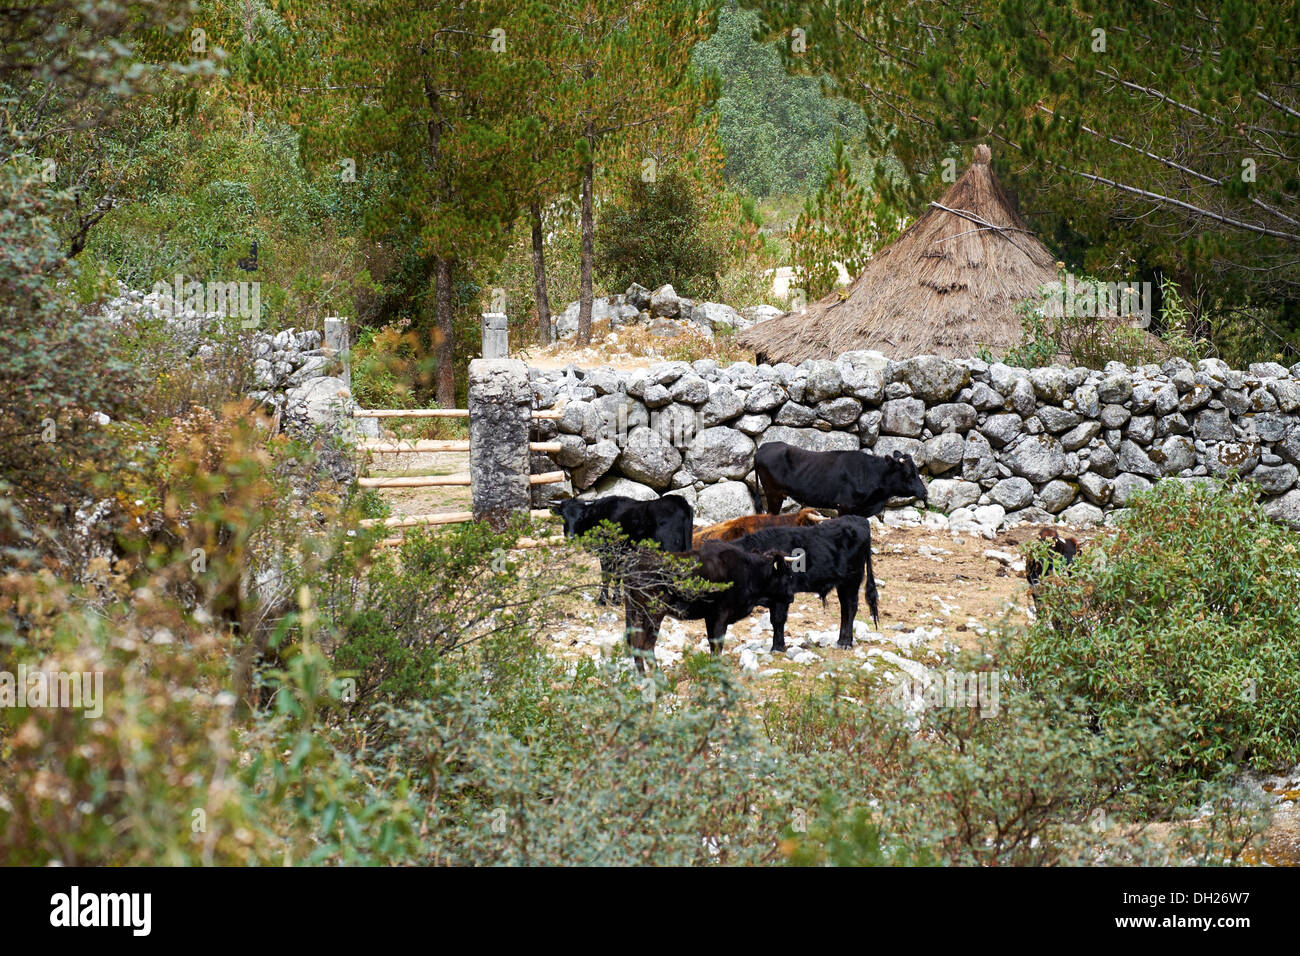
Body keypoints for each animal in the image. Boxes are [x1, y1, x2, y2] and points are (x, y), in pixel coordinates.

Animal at [553, 496, 696, 600]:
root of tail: (681, 502)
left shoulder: (607, 553)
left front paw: (603, 600)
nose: (570, 536)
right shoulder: (621, 554)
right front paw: (616, 599)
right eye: (563, 516)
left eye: (581, 517)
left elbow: (607, 575)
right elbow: (617, 576)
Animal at [618, 541, 790, 671]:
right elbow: (718, 643)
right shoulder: (722, 613)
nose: (791, 597)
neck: (749, 571)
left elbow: (712, 643)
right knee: (645, 645)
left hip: (636, 612)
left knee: (636, 645)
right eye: (786, 574)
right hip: (653, 612)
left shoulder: (710, 616)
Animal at [738, 515, 878, 658]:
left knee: (850, 607)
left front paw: (777, 647)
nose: (791, 597)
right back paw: (840, 641)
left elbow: (778, 620)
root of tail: (859, 519)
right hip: (843, 584)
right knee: (844, 608)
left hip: (852, 580)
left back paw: (845, 642)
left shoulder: (780, 598)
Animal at [754, 444, 925, 520]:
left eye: (917, 470)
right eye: (907, 473)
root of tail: (764, 446)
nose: (924, 491)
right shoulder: (844, 505)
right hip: (773, 494)